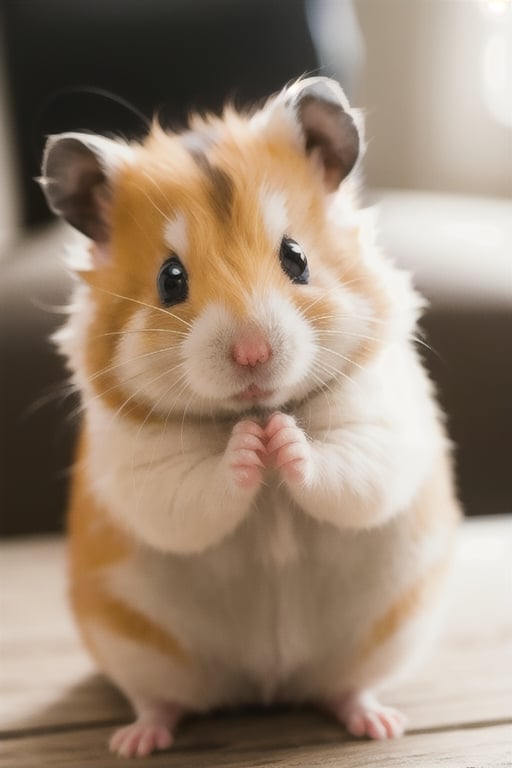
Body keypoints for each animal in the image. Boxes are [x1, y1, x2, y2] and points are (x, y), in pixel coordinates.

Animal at [41, 78, 460, 756]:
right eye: (170, 279)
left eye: (296, 256)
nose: (252, 355)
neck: (256, 406)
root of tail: (267, 686)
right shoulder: (143, 469)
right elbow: (196, 491)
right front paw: (248, 446)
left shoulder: (381, 426)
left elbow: (346, 466)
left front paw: (280, 438)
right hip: (134, 648)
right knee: (161, 701)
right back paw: (136, 741)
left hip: (386, 639)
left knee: (346, 690)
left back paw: (379, 723)